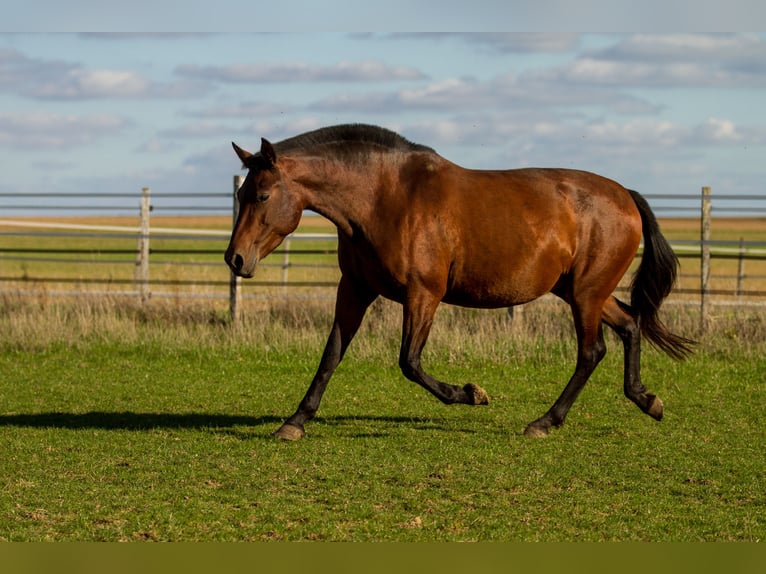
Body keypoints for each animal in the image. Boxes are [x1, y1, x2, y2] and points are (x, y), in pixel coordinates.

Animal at [224, 125, 696, 440]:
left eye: (262, 195)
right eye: (240, 195)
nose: (235, 259)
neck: (385, 199)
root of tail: (625, 195)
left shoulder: (423, 295)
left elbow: (409, 363)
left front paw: (472, 393)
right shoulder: (355, 289)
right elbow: (331, 356)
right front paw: (295, 422)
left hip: (585, 294)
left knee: (591, 351)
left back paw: (544, 422)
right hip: (582, 291)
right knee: (630, 325)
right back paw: (646, 400)